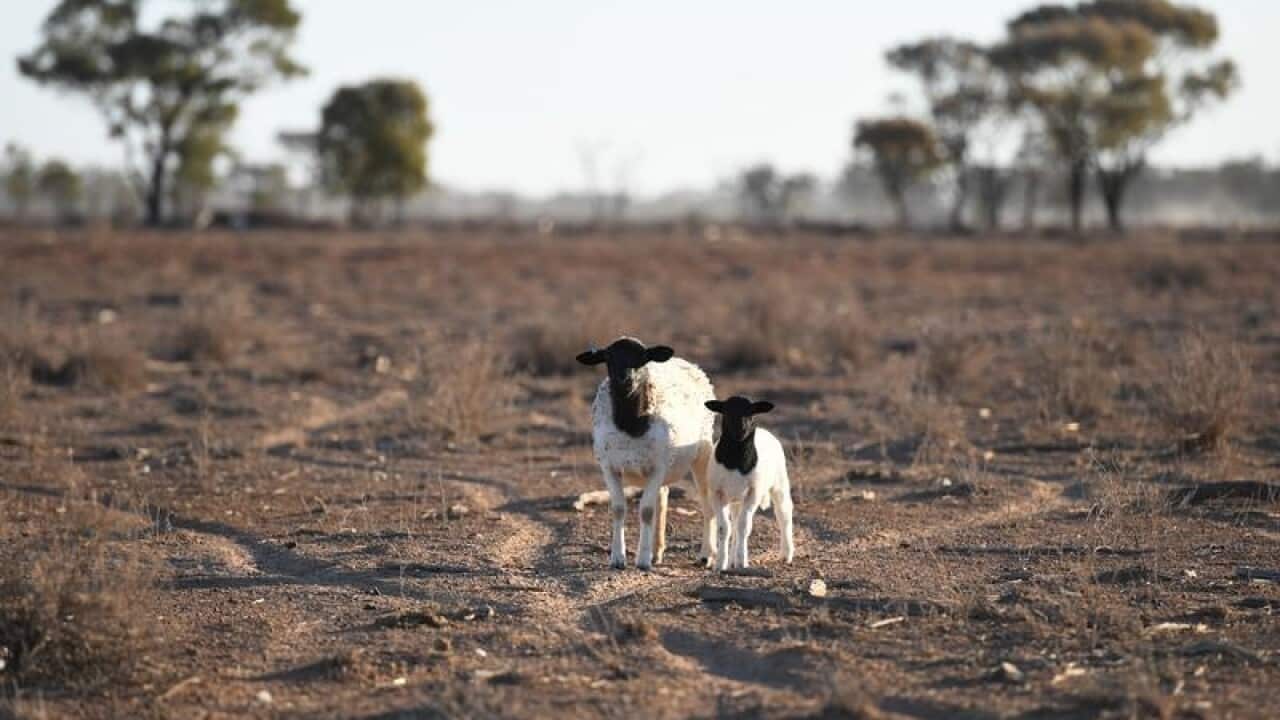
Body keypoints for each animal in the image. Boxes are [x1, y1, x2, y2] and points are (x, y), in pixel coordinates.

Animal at [577, 336, 717, 570]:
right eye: (608, 357)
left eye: (642, 358)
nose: (626, 379)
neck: (630, 425)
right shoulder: (609, 467)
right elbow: (618, 508)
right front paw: (618, 558)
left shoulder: (657, 467)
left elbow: (646, 511)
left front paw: (642, 560)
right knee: (664, 496)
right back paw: (657, 551)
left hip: (702, 453)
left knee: (707, 503)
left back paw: (706, 555)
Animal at [704, 395, 795, 571]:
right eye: (726, 411)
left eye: (751, 413)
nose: (741, 430)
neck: (735, 460)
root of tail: (765, 431)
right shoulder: (717, 493)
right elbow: (724, 528)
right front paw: (721, 564)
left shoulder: (754, 492)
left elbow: (744, 527)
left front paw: (741, 562)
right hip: (735, 498)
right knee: (734, 523)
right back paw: (731, 560)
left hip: (780, 482)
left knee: (784, 514)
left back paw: (786, 554)